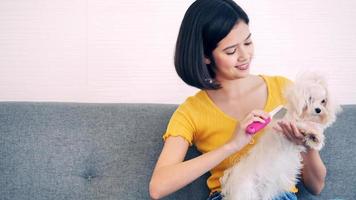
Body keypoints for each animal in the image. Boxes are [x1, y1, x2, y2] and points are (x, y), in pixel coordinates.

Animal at [221, 72, 340, 200]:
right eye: (309, 99)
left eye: (323, 101)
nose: (318, 110)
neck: (302, 117)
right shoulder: (285, 124)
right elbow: (300, 125)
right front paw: (311, 132)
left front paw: (315, 138)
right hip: (246, 190)